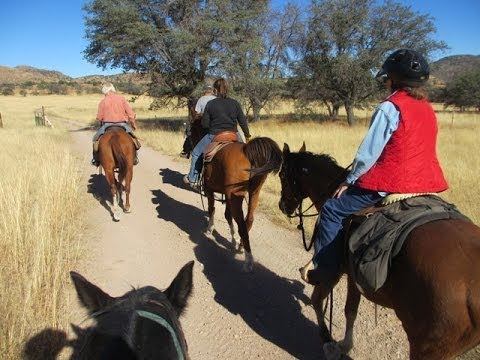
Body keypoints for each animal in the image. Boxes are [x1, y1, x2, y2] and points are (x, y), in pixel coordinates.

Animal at [202, 136, 282, 272]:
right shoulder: (227, 195)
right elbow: (227, 215)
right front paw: (233, 240)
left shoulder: (209, 189)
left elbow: (212, 209)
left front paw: (210, 229)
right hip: (254, 192)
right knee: (248, 219)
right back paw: (241, 245)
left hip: (236, 195)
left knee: (241, 223)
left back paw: (248, 261)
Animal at [280, 143, 480, 360]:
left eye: (281, 174)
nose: (282, 206)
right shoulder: (353, 277)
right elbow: (350, 309)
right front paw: (344, 344)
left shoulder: (339, 271)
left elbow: (328, 302)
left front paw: (331, 342)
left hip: (428, 347)